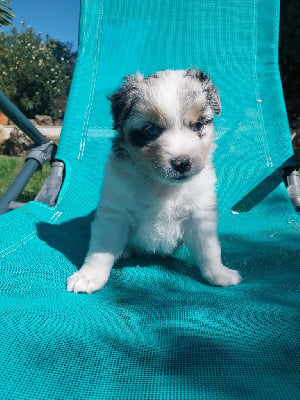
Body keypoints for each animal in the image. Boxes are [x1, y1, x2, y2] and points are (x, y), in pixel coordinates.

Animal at [66, 69, 241, 294]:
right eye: (151, 131)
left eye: (198, 125)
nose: (182, 163)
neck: (162, 185)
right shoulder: (115, 213)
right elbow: (101, 251)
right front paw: (89, 276)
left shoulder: (200, 216)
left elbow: (209, 250)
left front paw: (220, 275)